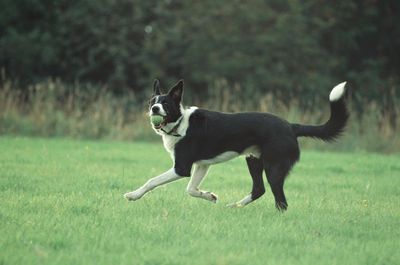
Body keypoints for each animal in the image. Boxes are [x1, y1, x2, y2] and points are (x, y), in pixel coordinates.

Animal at [124, 79, 346, 209]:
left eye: (165, 103)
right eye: (152, 101)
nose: (154, 109)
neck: (180, 123)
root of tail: (291, 126)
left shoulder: (181, 167)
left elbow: (152, 181)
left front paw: (133, 195)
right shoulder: (202, 165)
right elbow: (191, 189)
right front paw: (210, 196)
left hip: (273, 167)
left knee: (281, 201)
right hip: (253, 160)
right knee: (259, 190)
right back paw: (235, 207)